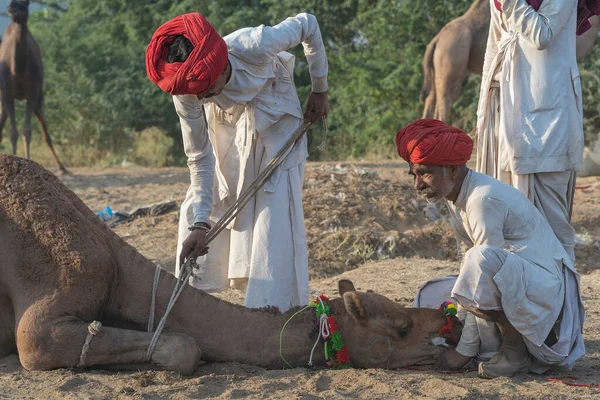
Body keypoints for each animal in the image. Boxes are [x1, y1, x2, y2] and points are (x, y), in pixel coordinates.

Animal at [0, 0, 67, 175]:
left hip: (39, 97)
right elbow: (13, 133)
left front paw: (26, 159)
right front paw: (14, 158)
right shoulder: (7, 93)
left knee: (45, 132)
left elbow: (27, 131)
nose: (10, 9)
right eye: (11, 2)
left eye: (25, 4)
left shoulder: (33, 92)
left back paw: (63, 168)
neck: (18, 69)